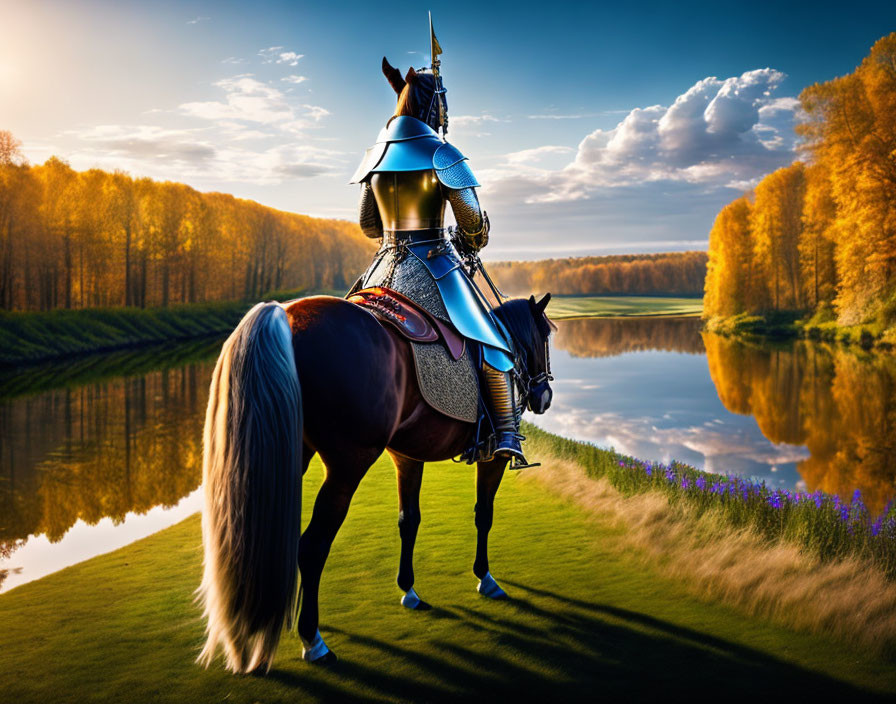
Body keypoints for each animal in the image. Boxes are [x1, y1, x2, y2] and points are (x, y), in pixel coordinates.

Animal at [196, 290, 552, 672]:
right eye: (547, 333)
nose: (544, 396)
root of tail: (284, 316)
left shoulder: (408, 457)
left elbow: (408, 520)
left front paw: (409, 590)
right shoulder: (493, 458)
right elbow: (483, 515)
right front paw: (485, 578)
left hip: (290, 452)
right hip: (348, 465)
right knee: (312, 546)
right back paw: (313, 640)